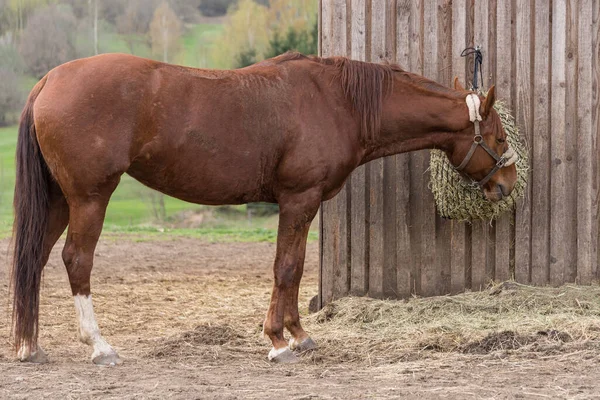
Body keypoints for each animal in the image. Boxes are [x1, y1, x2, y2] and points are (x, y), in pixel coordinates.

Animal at [10, 51, 516, 364]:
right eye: (498, 137)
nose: (506, 185)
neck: (341, 102)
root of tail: (49, 80)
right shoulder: (299, 198)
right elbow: (286, 267)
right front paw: (279, 341)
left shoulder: (303, 204)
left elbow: (294, 265)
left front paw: (298, 334)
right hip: (90, 197)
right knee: (76, 260)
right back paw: (99, 346)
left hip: (58, 200)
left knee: (34, 259)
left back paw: (30, 347)